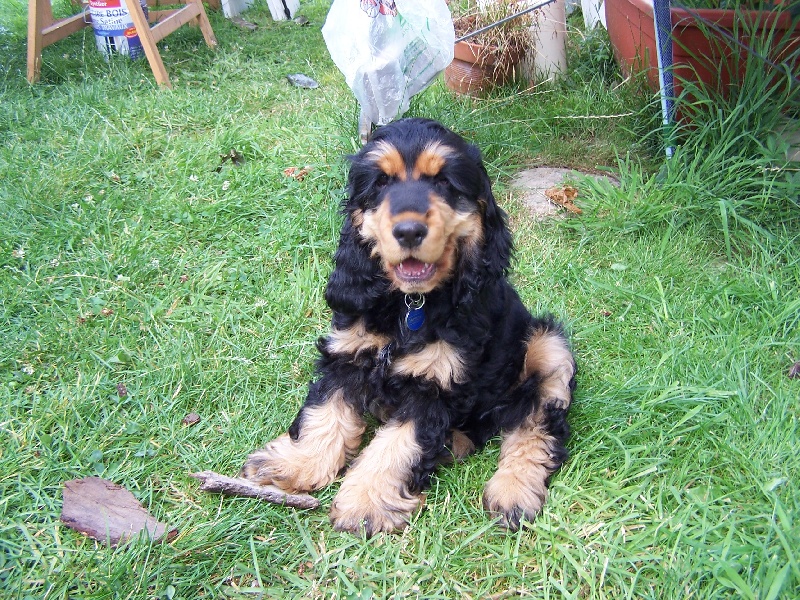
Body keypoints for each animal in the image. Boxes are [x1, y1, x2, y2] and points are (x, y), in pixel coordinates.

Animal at [242, 117, 576, 536]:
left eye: (445, 182)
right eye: (381, 182)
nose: (409, 231)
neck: (409, 304)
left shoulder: (435, 386)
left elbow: (395, 446)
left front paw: (364, 505)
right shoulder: (346, 355)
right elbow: (325, 413)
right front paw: (296, 465)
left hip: (548, 347)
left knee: (537, 423)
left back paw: (513, 491)